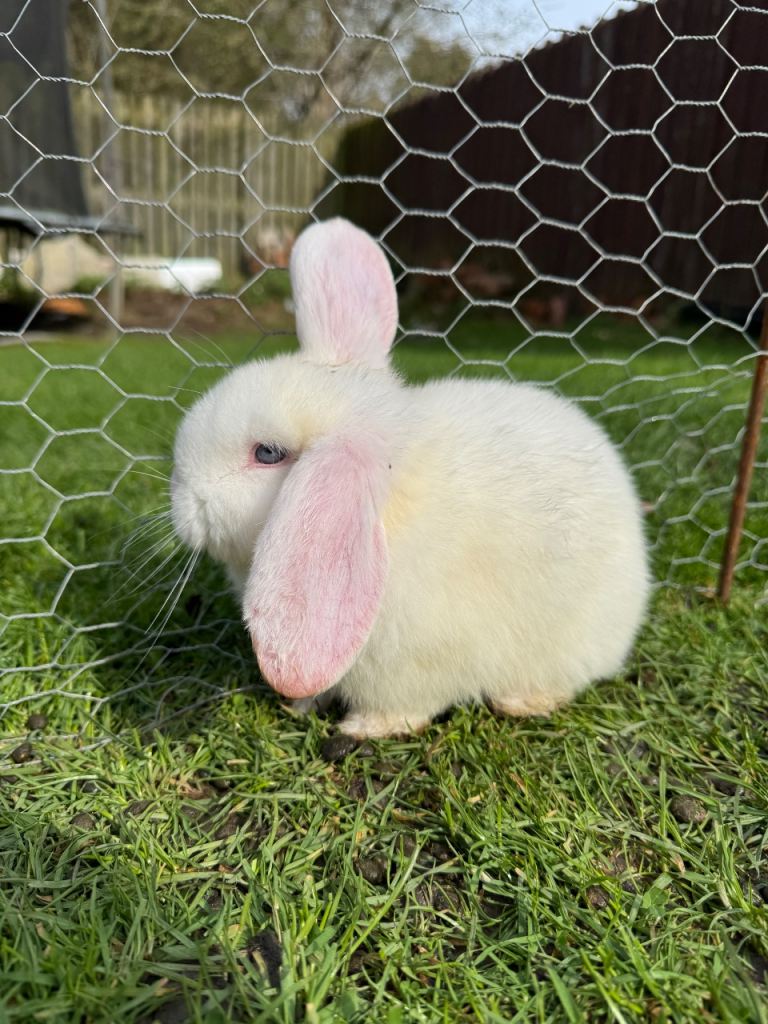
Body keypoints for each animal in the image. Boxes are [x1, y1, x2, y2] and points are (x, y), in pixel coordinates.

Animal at [171, 217, 650, 738]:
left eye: (267, 453)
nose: (181, 505)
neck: (389, 499)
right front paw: (300, 705)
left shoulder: (411, 674)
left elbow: (402, 710)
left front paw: (359, 729)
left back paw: (522, 701)